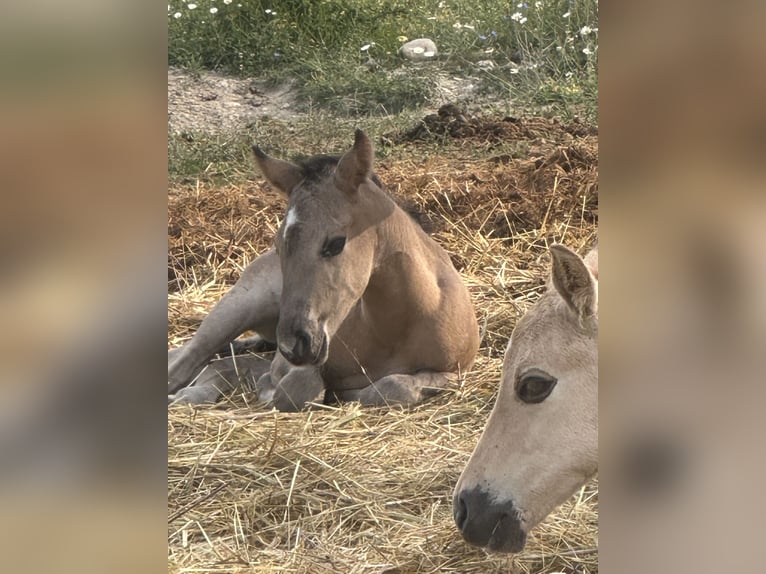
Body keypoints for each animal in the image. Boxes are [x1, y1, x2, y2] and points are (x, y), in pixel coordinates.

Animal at [168, 130, 480, 411]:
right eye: (278, 245)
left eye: (335, 243)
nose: (295, 344)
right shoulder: (291, 362)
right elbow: (294, 388)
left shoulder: (456, 371)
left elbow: (393, 386)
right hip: (238, 308)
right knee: (186, 364)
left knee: (222, 362)